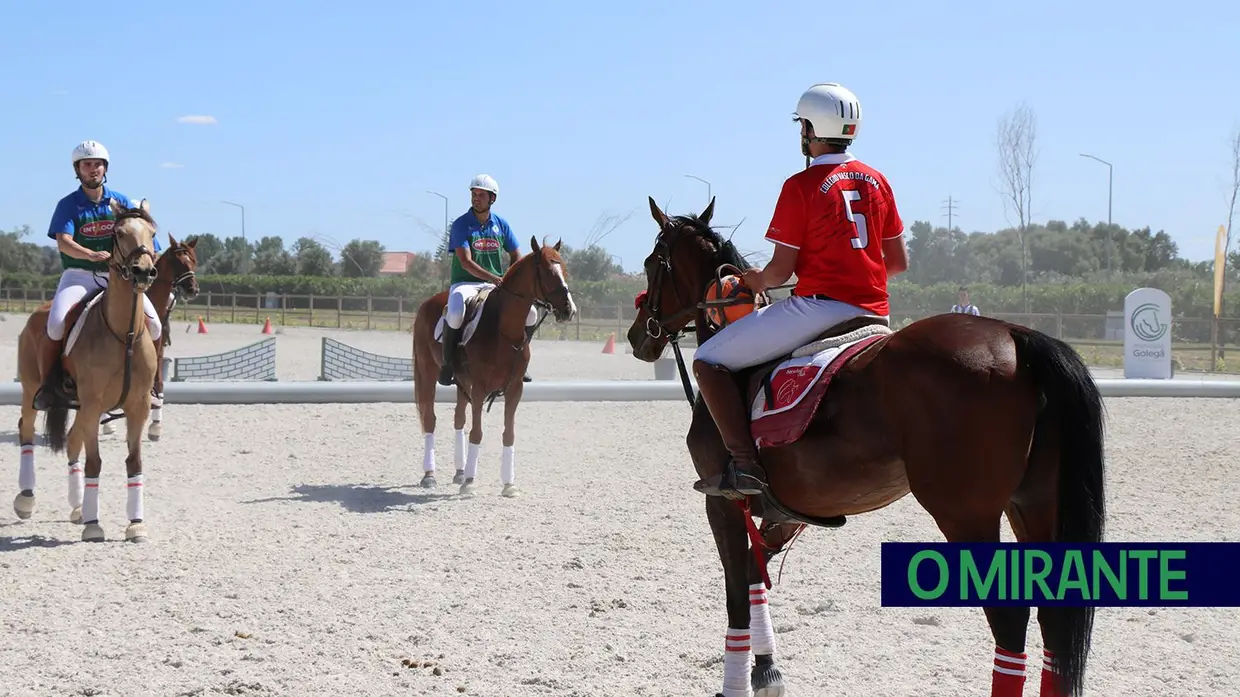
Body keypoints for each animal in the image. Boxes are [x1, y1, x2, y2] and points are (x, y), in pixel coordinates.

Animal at [13, 198, 164, 540]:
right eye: (119, 233)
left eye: (152, 233)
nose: (143, 271)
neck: (125, 335)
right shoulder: (94, 404)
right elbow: (95, 461)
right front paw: (94, 525)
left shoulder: (137, 406)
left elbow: (134, 461)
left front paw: (135, 523)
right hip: (32, 390)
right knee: (26, 430)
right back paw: (26, 500)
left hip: (80, 405)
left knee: (71, 441)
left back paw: (77, 507)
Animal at [411, 235, 575, 496]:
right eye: (548, 271)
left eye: (565, 270)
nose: (569, 310)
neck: (504, 330)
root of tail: (428, 303)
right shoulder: (479, 387)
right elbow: (477, 433)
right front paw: (470, 482)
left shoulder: (515, 388)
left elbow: (509, 434)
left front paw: (508, 484)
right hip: (428, 372)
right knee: (430, 419)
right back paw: (430, 475)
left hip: (461, 380)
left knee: (458, 418)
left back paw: (459, 472)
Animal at [629, 195, 1106, 694]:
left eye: (650, 263)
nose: (638, 334)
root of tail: (1016, 335)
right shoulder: (779, 511)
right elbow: (755, 576)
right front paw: (766, 669)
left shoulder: (721, 502)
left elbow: (737, 593)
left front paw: (739, 682)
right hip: (1033, 502)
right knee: (1052, 614)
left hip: (966, 514)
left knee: (1010, 621)